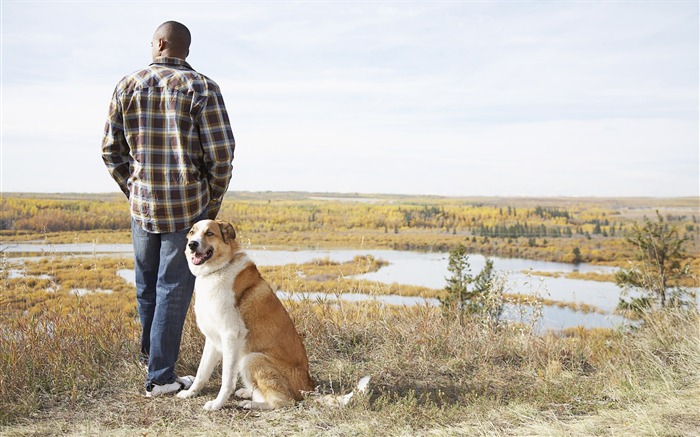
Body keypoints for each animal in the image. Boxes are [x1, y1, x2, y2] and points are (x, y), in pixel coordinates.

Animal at [176, 220, 316, 410]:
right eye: (192, 232)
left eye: (209, 233)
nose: (192, 245)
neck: (218, 270)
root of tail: (309, 386)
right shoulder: (212, 339)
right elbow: (201, 373)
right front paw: (190, 393)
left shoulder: (230, 335)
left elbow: (227, 379)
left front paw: (217, 404)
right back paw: (248, 393)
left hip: (252, 358)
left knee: (283, 401)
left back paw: (250, 404)